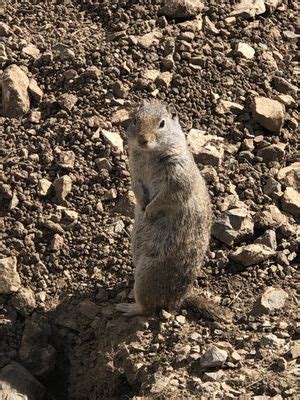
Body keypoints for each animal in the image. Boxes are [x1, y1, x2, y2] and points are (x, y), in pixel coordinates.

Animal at [116, 101, 231, 324]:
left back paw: (128, 307)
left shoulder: (177, 176)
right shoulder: (135, 170)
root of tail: (180, 299)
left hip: (147, 274)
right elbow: (136, 187)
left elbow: (167, 196)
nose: (142, 139)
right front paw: (142, 205)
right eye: (135, 120)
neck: (149, 154)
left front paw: (149, 211)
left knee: (148, 308)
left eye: (162, 123)